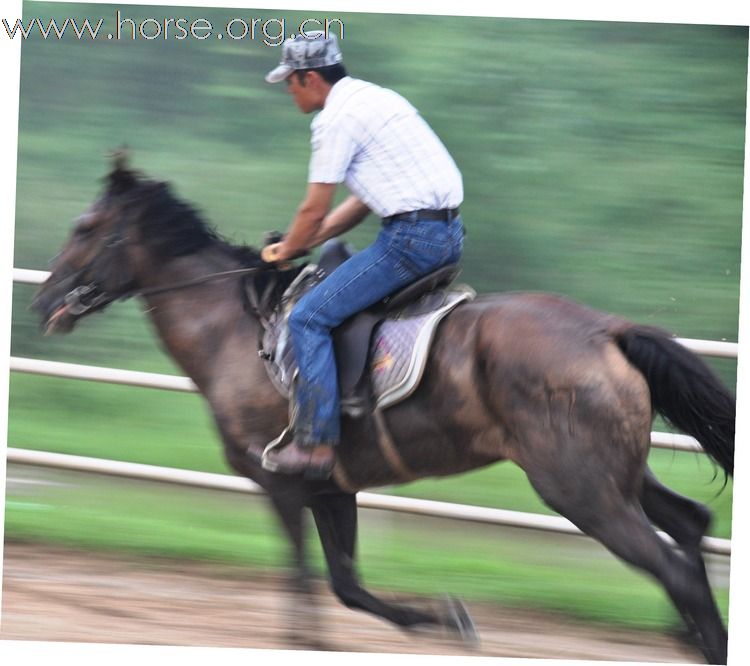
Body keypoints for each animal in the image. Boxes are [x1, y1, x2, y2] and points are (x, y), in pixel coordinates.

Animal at [32, 154, 736, 660]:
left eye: (85, 228)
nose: (43, 301)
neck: (233, 332)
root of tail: (605, 331)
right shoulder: (331, 488)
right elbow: (347, 586)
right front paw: (445, 616)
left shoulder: (280, 483)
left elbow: (315, 586)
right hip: (617, 475)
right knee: (691, 524)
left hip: (580, 489)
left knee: (674, 568)